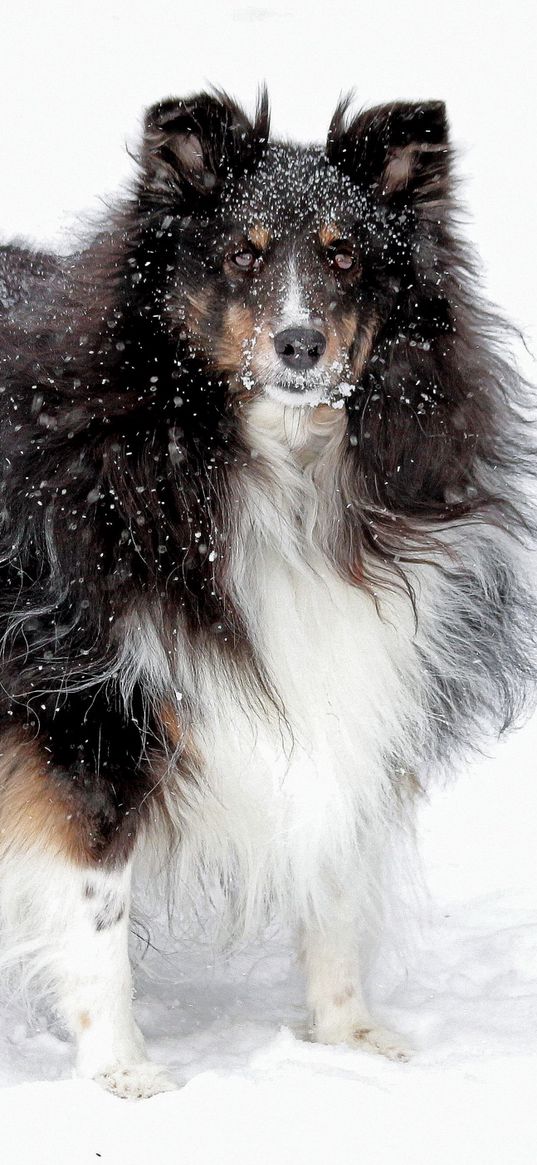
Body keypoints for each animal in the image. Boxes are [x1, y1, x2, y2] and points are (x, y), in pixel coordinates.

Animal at [0, 93, 531, 1099]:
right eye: (242, 255)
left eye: (343, 254)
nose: (299, 346)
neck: (265, 466)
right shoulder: (83, 711)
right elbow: (96, 900)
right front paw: (123, 1071)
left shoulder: (348, 674)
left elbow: (332, 875)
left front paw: (349, 1036)